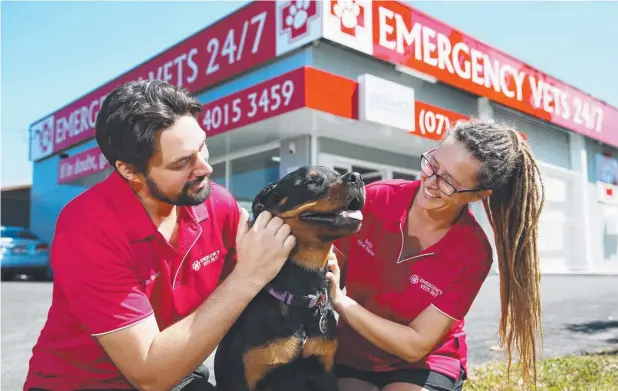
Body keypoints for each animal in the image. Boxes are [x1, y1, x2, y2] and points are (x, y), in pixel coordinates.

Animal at [213, 165, 364, 391]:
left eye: (338, 174)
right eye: (311, 182)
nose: (357, 177)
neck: (301, 292)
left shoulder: (325, 372)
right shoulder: (243, 378)